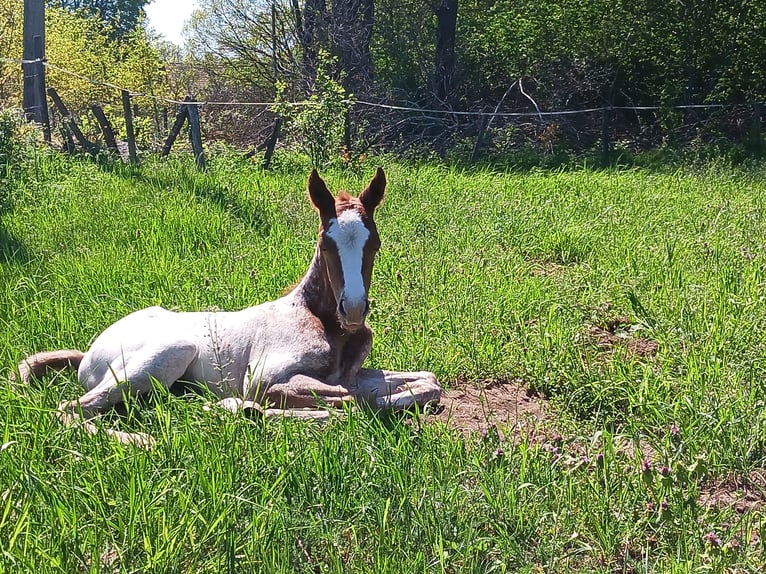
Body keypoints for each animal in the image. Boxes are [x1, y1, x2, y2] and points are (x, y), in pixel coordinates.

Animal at [13, 169, 444, 448]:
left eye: (375, 244)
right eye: (326, 244)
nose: (353, 310)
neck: (322, 323)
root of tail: (89, 351)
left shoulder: (352, 374)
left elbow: (426, 383)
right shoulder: (265, 377)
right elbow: (349, 403)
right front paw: (254, 409)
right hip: (170, 352)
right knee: (72, 408)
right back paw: (141, 438)